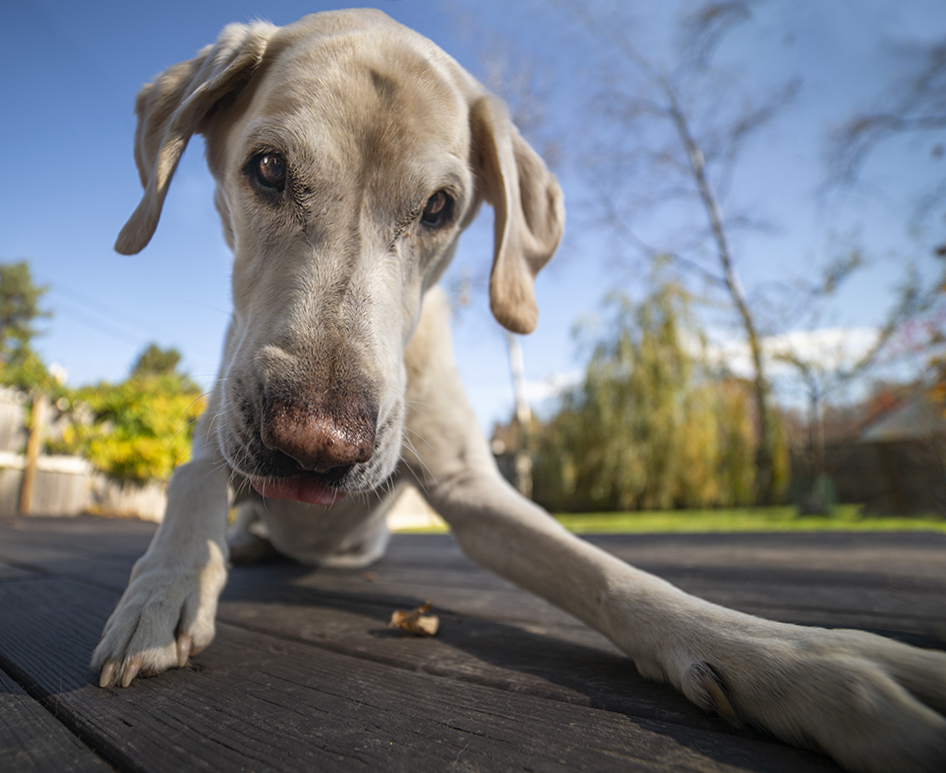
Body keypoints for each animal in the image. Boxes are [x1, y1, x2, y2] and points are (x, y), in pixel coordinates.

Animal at [94, 7, 944, 772]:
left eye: (439, 207)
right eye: (268, 168)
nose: (315, 447)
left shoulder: (475, 490)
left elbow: (610, 573)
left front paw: (805, 663)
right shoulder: (225, 419)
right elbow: (195, 472)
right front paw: (165, 587)